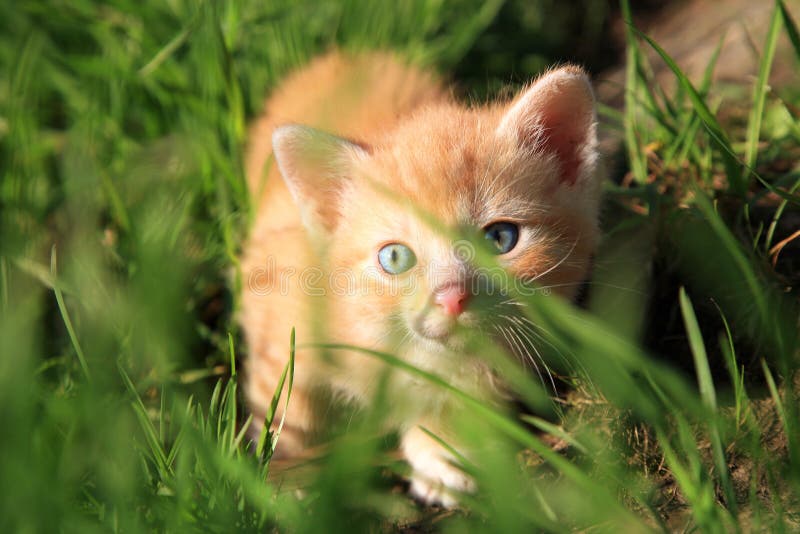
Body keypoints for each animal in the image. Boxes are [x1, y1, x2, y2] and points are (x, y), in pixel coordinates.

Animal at [239, 50, 600, 506]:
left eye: (500, 238)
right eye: (395, 257)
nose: (451, 298)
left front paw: (440, 462)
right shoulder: (277, 312)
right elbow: (286, 400)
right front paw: (286, 474)